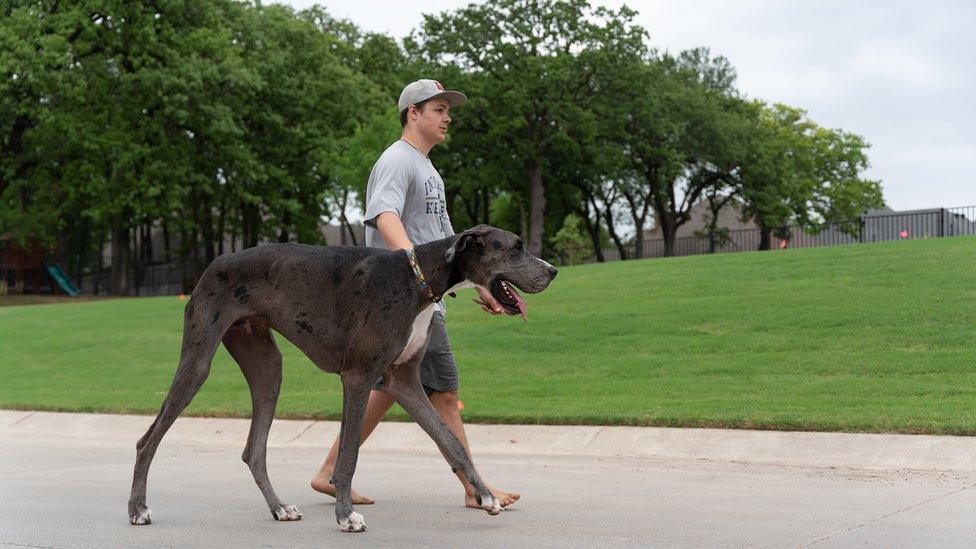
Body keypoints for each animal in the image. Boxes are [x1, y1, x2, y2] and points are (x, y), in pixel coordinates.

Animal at [127, 223, 560, 532]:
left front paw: (486, 497)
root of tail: (215, 263)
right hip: (197, 363)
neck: (417, 280)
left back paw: (279, 508)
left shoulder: (404, 382)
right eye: (516, 246)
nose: (554, 271)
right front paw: (345, 515)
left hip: (268, 368)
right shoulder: (358, 377)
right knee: (148, 439)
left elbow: (450, 441)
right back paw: (137, 509)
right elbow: (349, 453)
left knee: (254, 449)